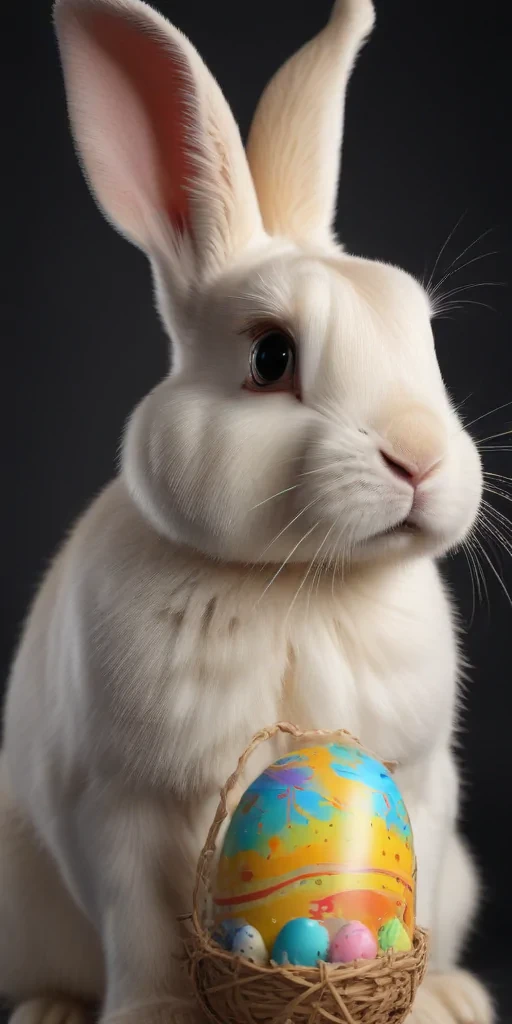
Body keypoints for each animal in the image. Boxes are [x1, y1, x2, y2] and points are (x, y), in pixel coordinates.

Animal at [0, 0, 495, 1023]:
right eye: (271, 357)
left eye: (424, 337)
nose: (421, 459)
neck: (301, 580)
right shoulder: (120, 809)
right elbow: (145, 936)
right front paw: (152, 1016)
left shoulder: (418, 779)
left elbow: (415, 882)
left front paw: (421, 1000)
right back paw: (52, 1008)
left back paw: (459, 996)